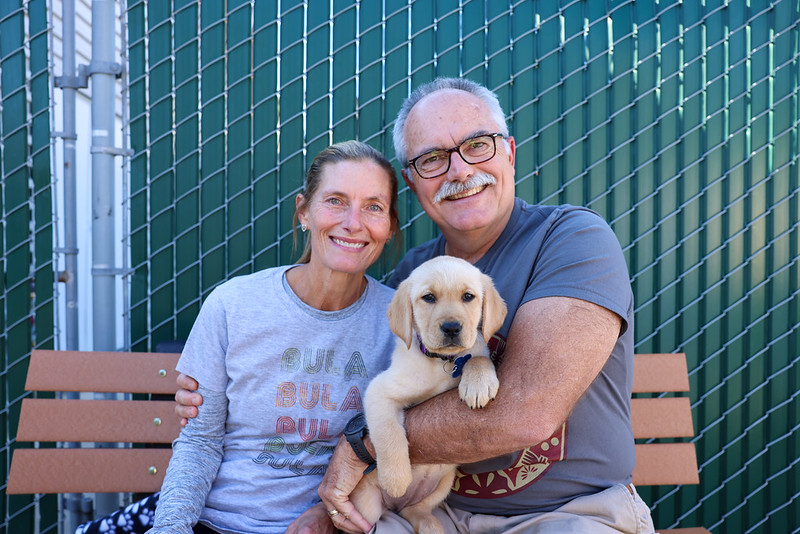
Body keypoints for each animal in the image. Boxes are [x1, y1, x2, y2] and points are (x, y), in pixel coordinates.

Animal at [350, 258, 506, 532]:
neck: (442, 361)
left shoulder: (476, 350)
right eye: (429, 298)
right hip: (366, 508)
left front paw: (478, 384)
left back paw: (428, 523)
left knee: (415, 509)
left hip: (444, 483)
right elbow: (389, 433)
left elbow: (477, 357)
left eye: (468, 296)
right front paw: (396, 479)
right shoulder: (379, 391)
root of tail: (395, 506)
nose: (452, 327)